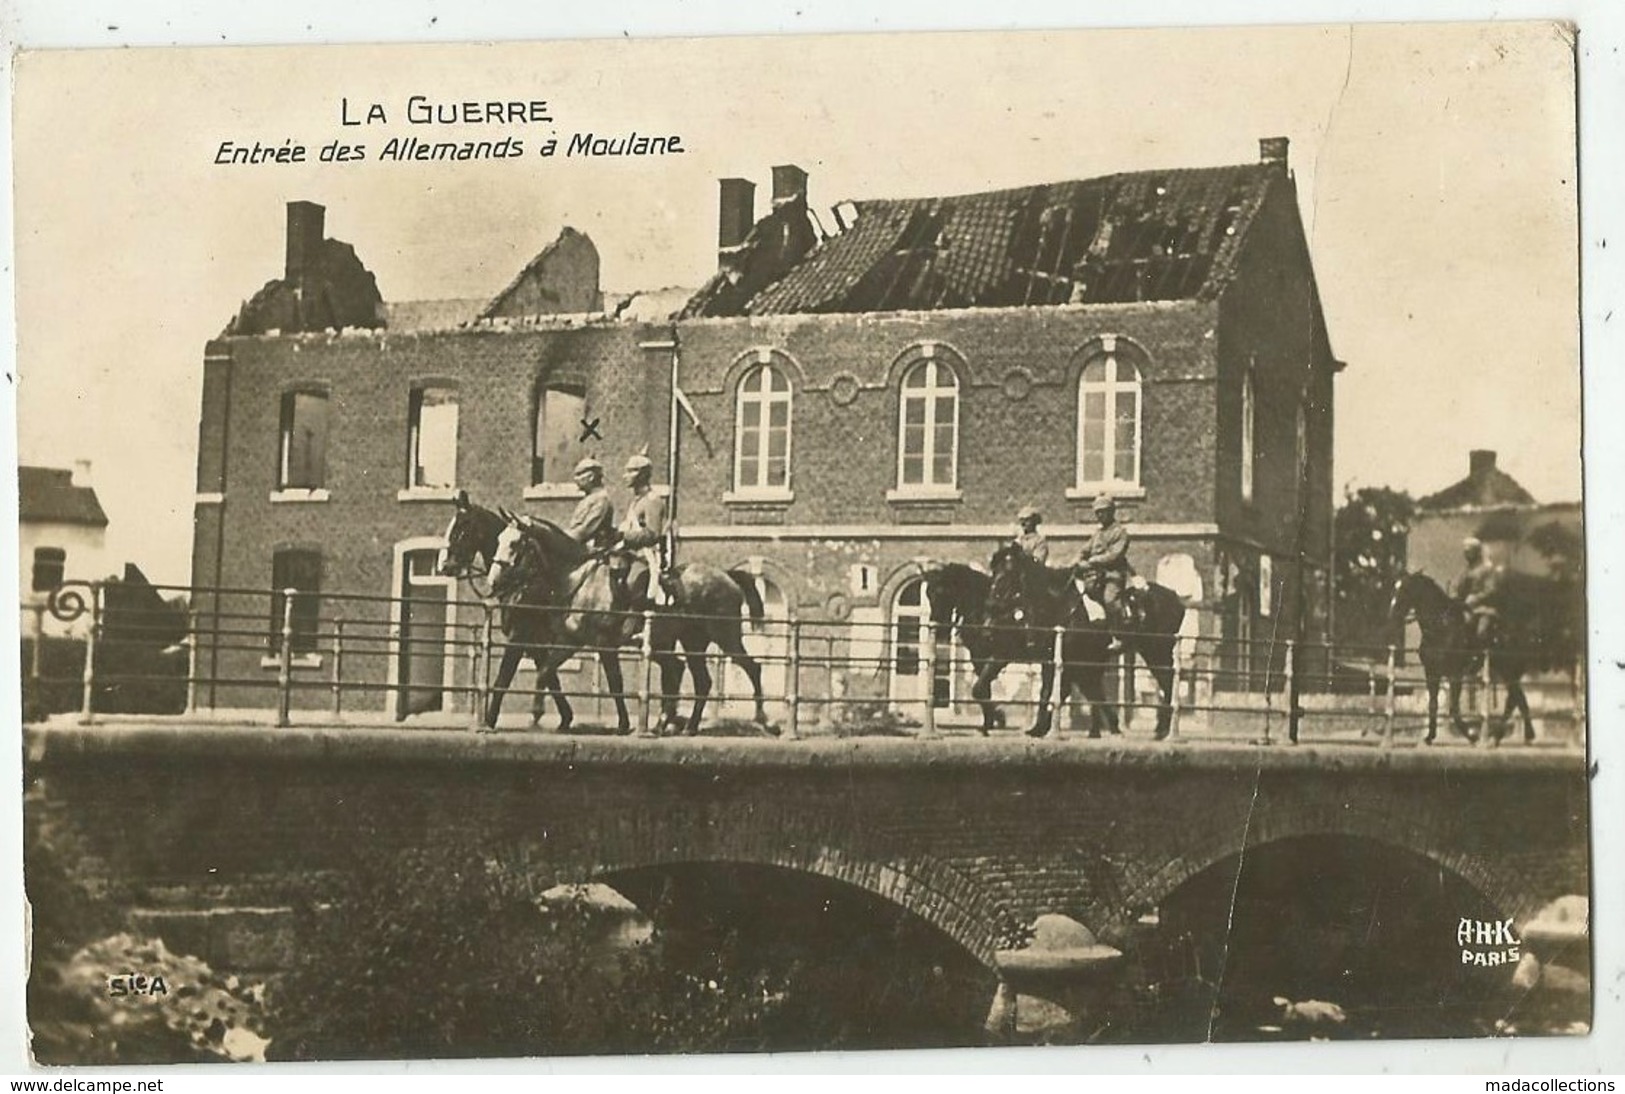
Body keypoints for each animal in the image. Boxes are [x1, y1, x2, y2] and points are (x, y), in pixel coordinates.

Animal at [438, 490, 620, 728]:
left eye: (462, 527)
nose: (444, 566)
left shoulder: (521, 635)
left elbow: (505, 677)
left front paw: (490, 720)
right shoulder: (536, 642)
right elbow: (550, 677)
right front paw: (562, 716)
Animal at [464, 503, 773, 734]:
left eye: (516, 543)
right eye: (499, 540)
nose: (494, 580)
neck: (577, 578)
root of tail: (727, 576)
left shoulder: (602, 643)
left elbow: (614, 683)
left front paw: (623, 724)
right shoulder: (570, 641)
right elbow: (546, 671)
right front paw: (544, 713)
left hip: (725, 636)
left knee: (752, 668)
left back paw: (764, 720)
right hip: (690, 642)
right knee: (697, 679)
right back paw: (681, 724)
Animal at [1384, 568, 1573, 747]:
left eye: (1405, 589)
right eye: (1394, 588)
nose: (1391, 614)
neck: (1442, 628)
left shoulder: (1455, 675)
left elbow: (1453, 709)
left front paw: (1472, 736)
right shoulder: (1432, 673)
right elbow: (1433, 705)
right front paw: (1429, 737)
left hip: (1509, 670)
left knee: (1513, 701)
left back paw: (1503, 736)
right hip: (1506, 672)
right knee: (1518, 699)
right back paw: (1514, 736)